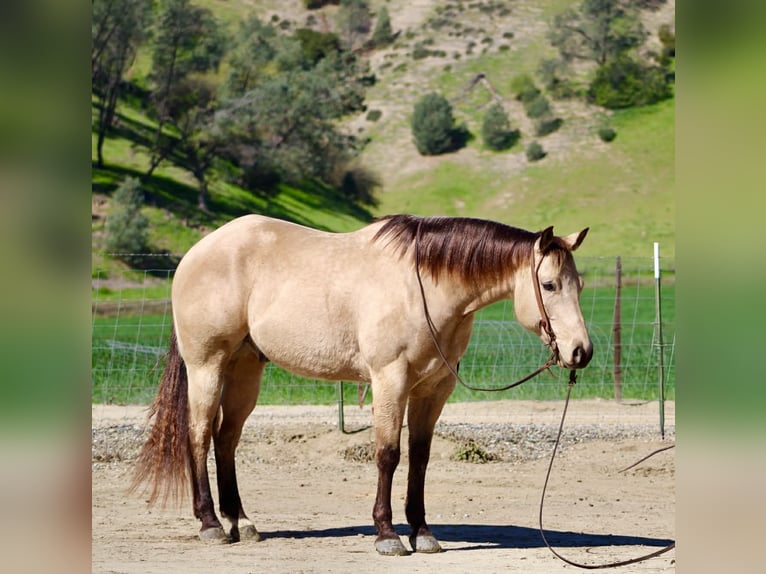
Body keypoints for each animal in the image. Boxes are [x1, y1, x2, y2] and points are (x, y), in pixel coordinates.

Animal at [132, 214, 592, 556]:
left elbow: (420, 458)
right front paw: (388, 535)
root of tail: (196, 253)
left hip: (246, 369)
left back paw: (240, 521)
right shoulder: (390, 380)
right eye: (549, 285)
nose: (580, 352)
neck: (422, 286)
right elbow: (388, 454)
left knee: (225, 440)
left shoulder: (433, 390)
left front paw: (422, 531)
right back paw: (210, 523)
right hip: (207, 367)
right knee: (198, 435)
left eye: (580, 285)